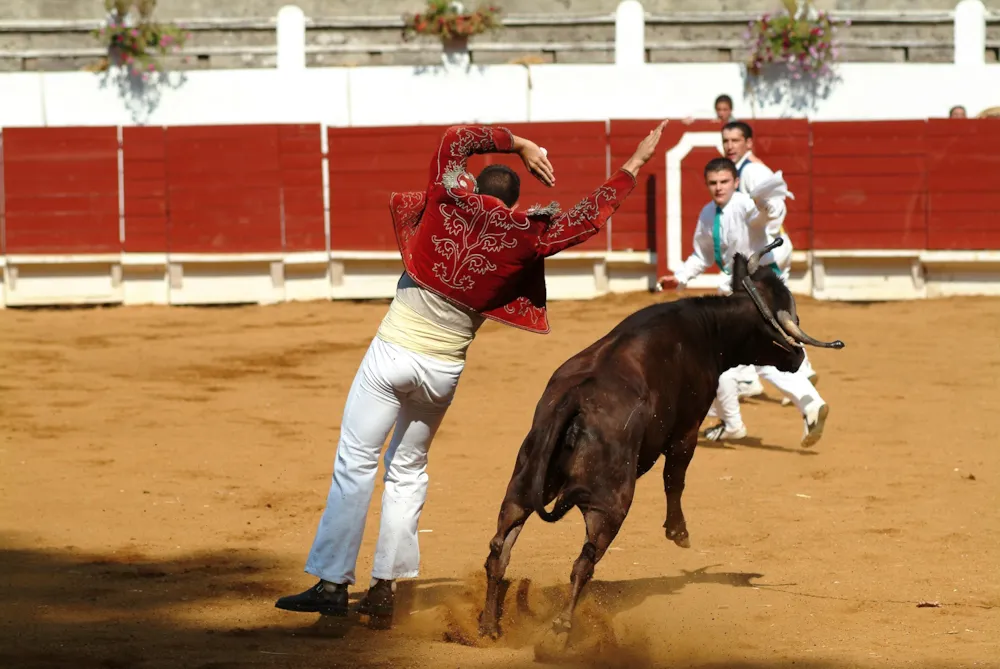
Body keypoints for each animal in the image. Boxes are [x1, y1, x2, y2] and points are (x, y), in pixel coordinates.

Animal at [476, 239, 844, 648]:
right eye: (783, 320)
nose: (798, 355)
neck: (708, 328)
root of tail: (575, 400)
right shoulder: (687, 428)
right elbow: (675, 479)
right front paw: (678, 532)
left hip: (521, 486)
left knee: (499, 549)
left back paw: (489, 625)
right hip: (610, 503)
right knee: (582, 563)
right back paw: (562, 627)